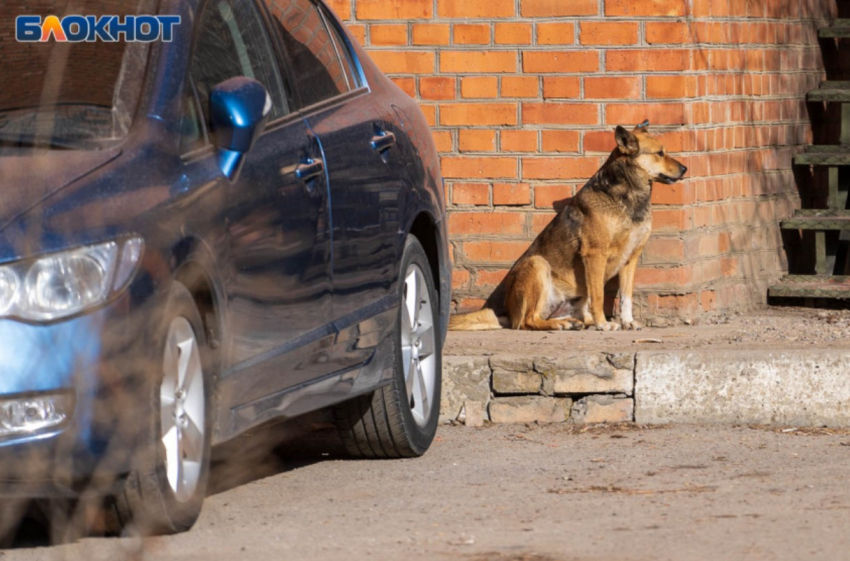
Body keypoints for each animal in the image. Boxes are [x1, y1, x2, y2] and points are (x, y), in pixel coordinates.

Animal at [448, 120, 684, 330]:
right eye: (660, 153)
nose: (685, 168)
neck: (629, 195)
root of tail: (508, 313)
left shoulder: (630, 258)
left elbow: (626, 296)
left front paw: (627, 322)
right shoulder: (594, 254)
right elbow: (599, 295)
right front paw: (604, 324)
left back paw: (573, 322)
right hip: (537, 264)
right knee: (528, 321)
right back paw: (561, 324)